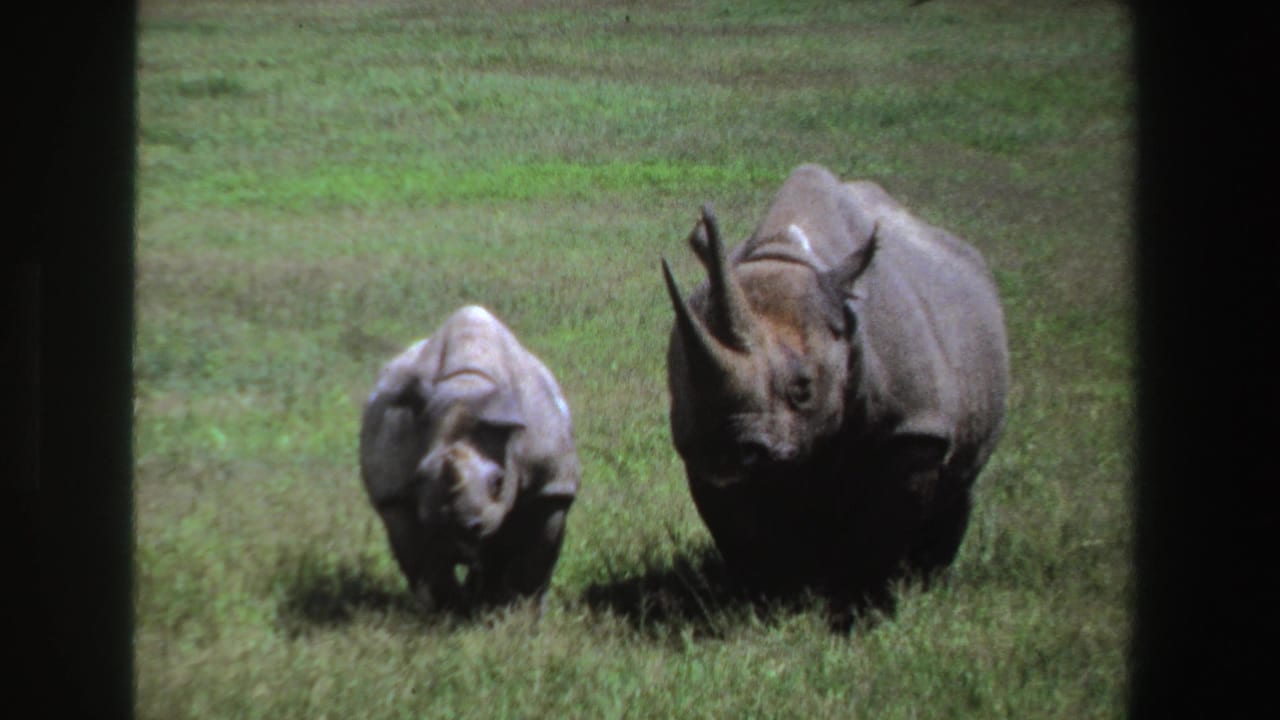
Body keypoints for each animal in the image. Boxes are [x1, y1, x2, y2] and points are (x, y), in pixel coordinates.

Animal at [359, 305, 580, 612]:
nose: (456, 526)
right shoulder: (395, 495)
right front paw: (446, 613)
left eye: (499, 482)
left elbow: (534, 560)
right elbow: (422, 562)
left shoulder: (550, 486)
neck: (468, 382)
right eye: (418, 478)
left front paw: (524, 614)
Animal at [661, 164, 1009, 613]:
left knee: (960, 483)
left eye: (803, 389)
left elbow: (885, 527)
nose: (727, 450)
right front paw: (767, 600)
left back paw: (929, 580)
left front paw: (866, 604)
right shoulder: (700, 446)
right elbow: (743, 531)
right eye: (687, 384)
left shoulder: (914, 429)